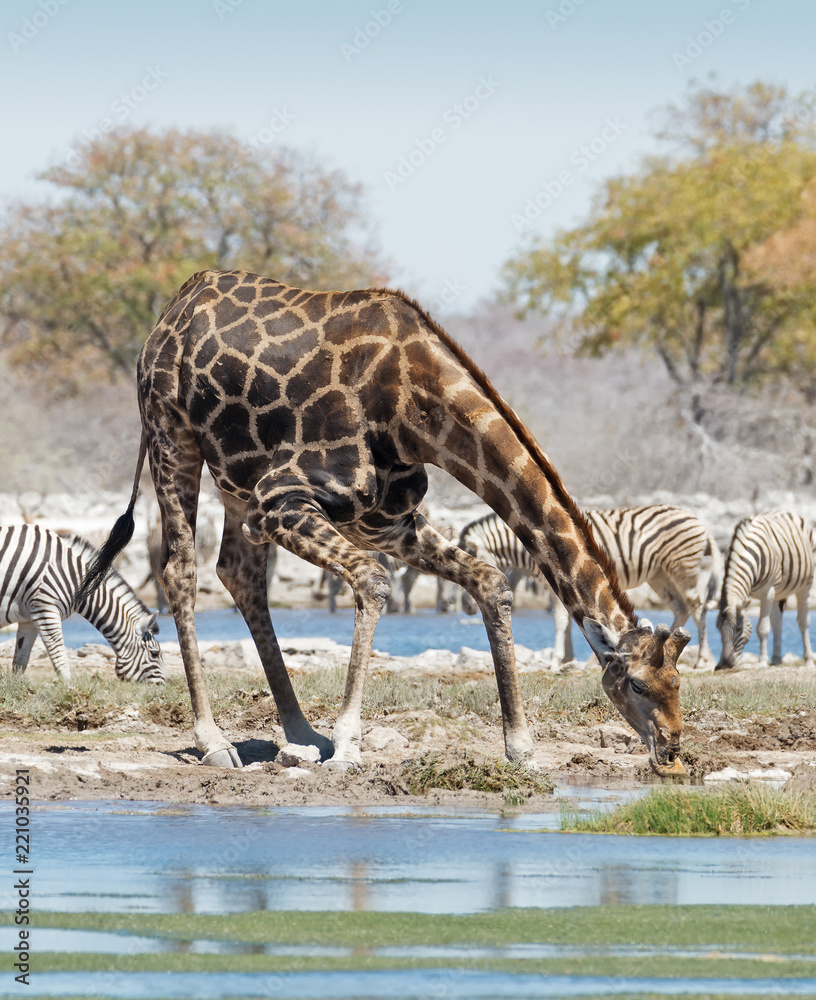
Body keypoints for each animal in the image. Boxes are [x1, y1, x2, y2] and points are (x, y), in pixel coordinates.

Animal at [80, 269, 689, 775]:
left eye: (679, 682)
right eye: (636, 684)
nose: (672, 751)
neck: (413, 405)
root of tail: (171, 311)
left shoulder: (385, 521)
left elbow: (490, 581)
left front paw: (520, 747)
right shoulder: (283, 499)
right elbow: (373, 582)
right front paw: (349, 746)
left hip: (235, 479)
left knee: (238, 572)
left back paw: (301, 733)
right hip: (171, 436)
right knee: (181, 571)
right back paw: (215, 741)